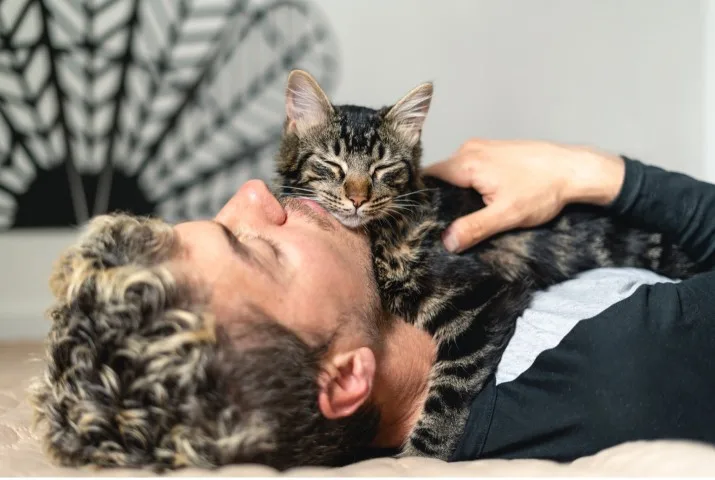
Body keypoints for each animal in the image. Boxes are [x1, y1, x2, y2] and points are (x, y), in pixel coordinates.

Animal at [274, 69, 704, 460]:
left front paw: (421, 457)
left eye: (383, 169)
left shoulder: (483, 298)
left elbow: (449, 391)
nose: (358, 199)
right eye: (333, 165)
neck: (379, 237)